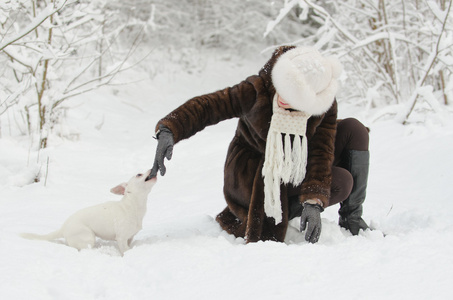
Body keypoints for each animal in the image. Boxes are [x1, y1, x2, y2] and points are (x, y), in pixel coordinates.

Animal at [21, 170, 157, 254]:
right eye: (139, 174)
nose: (152, 168)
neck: (132, 206)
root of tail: (63, 228)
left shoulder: (130, 237)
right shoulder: (122, 238)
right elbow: (125, 251)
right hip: (88, 237)